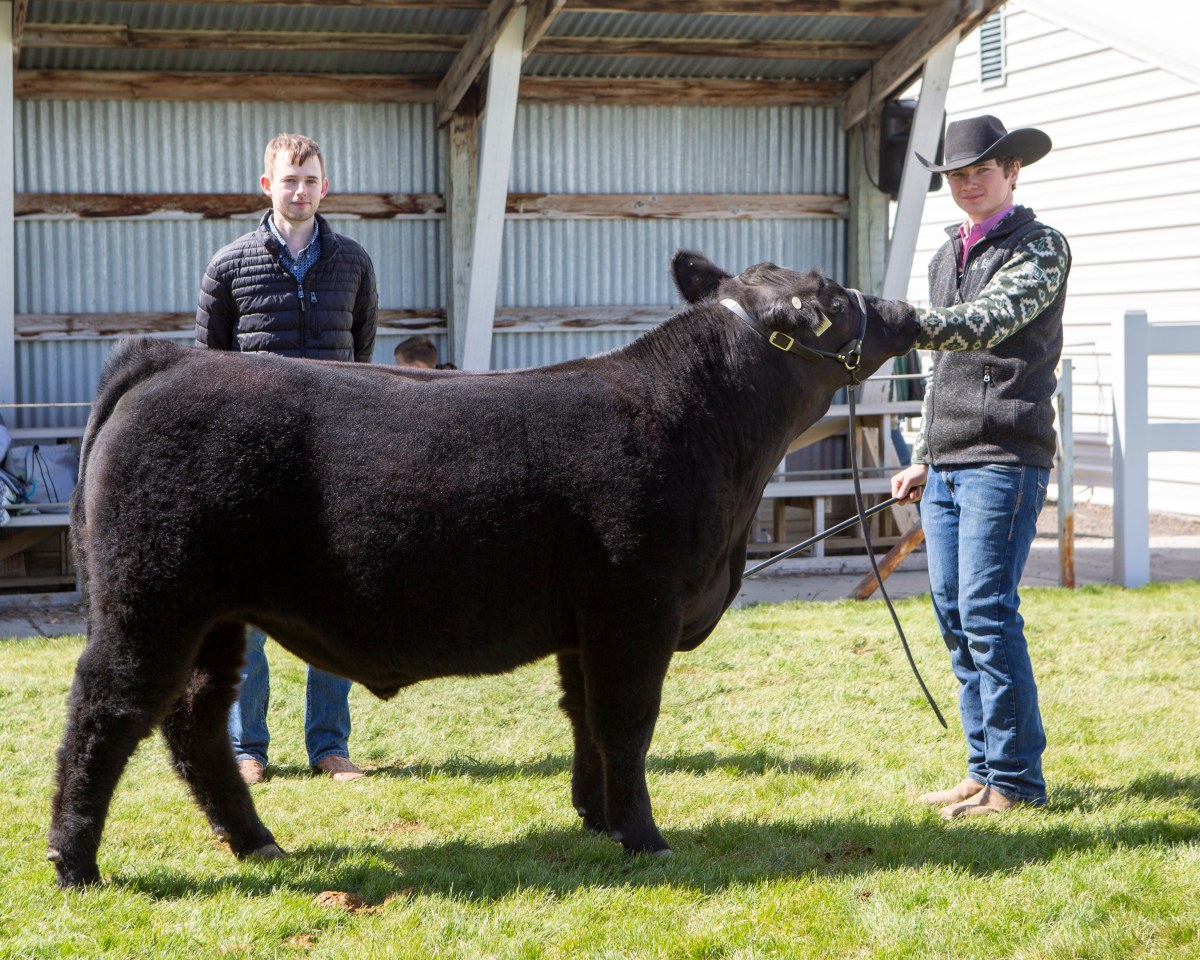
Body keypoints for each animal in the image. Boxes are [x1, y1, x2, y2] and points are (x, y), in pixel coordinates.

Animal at [48, 251, 919, 888]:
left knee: (193, 723)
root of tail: (167, 360)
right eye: (833, 296)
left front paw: (596, 819)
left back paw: (258, 842)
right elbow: (627, 720)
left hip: (215, 617)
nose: (905, 313)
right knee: (106, 711)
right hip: (150, 599)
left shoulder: (586, 623)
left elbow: (585, 719)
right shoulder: (636, 604)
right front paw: (645, 836)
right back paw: (74, 862)